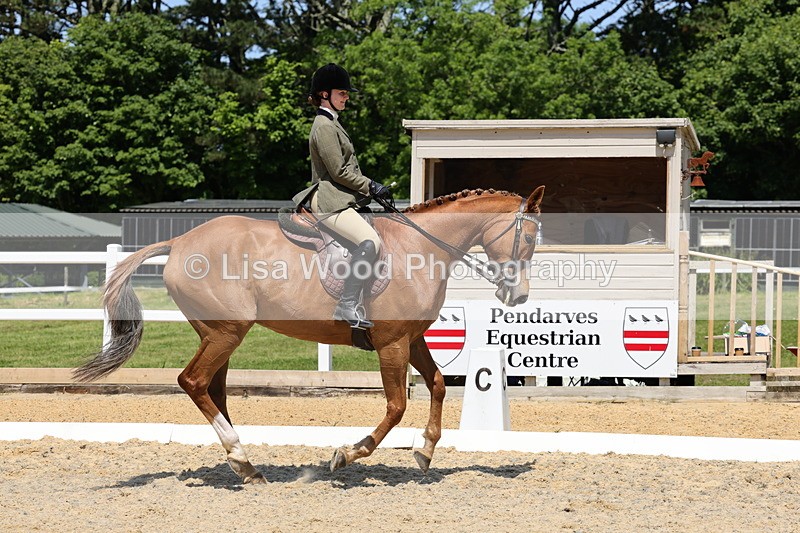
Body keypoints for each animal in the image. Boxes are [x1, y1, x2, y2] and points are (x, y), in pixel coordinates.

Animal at [73, 186, 545, 484]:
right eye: (529, 238)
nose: (519, 295)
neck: (423, 249)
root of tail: (180, 241)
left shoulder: (411, 340)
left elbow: (438, 384)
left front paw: (425, 452)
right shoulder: (391, 344)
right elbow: (395, 407)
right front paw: (347, 454)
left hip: (219, 334)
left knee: (212, 388)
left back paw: (246, 466)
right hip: (227, 331)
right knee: (193, 381)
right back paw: (241, 459)